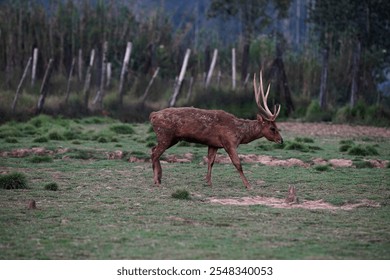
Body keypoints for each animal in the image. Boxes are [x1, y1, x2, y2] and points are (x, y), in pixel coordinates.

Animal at [150, 70, 284, 189]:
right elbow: (238, 163)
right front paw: (248, 185)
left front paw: (208, 182)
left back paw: (159, 178)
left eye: (277, 127)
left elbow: (211, 161)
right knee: (155, 153)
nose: (281, 140)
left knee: (153, 149)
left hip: (172, 138)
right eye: (272, 128)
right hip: (165, 135)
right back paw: (156, 180)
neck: (240, 134)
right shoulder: (229, 142)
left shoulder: (214, 144)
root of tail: (152, 115)